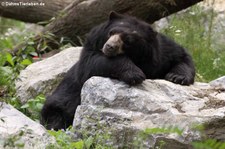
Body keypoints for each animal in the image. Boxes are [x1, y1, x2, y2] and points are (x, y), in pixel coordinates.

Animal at [40, 11, 195, 130]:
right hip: (59, 103)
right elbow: (92, 63)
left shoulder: (160, 54)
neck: (136, 58)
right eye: (111, 32)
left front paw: (177, 77)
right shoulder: (93, 45)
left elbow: (180, 56)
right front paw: (135, 74)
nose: (109, 46)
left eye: (128, 40)